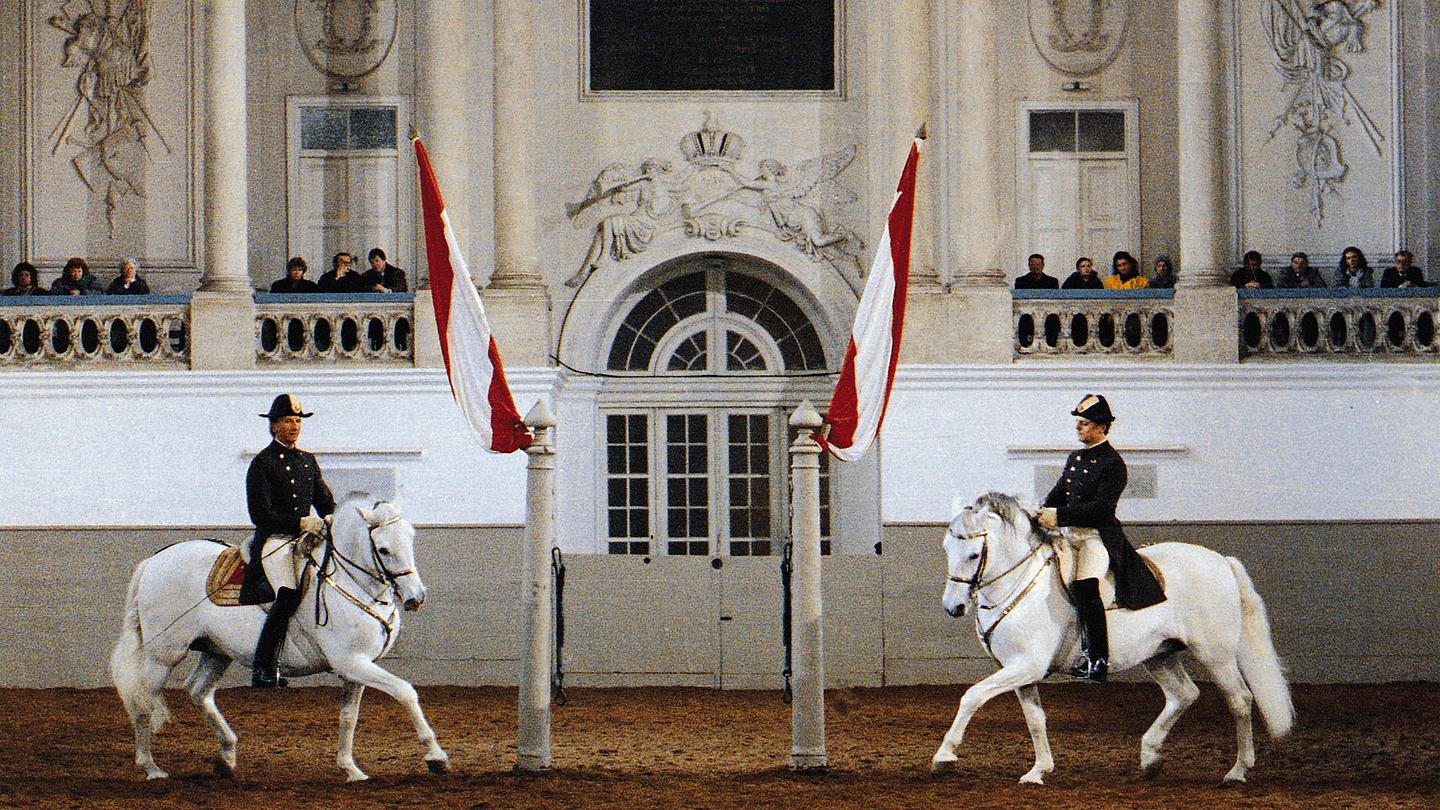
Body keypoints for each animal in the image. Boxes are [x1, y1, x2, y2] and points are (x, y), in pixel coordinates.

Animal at [110, 492, 446, 778]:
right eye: (384, 549)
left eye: (411, 538)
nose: (416, 597)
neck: (351, 583)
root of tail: (153, 562)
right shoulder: (351, 662)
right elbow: (406, 691)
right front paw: (436, 757)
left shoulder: (357, 667)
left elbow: (348, 717)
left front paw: (350, 769)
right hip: (163, 655)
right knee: (144, 700)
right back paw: (150, 767)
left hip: (217, 651)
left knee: (198, 691)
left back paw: (226, 757)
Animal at [933, 492, 1296, 784]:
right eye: (947, 548)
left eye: (972, 555)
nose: (954, 607)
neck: (1020, 582)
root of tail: (1221, 560)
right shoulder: (1020, 670)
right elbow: (1035, 720)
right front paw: (1038, 771)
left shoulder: (1026, 666)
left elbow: (972, 696)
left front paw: (944, 756)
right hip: (1160, 655)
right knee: (1184, 694)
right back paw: (1150, 758)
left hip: (1215, 655)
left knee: (1239, 700)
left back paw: (1237, 771)